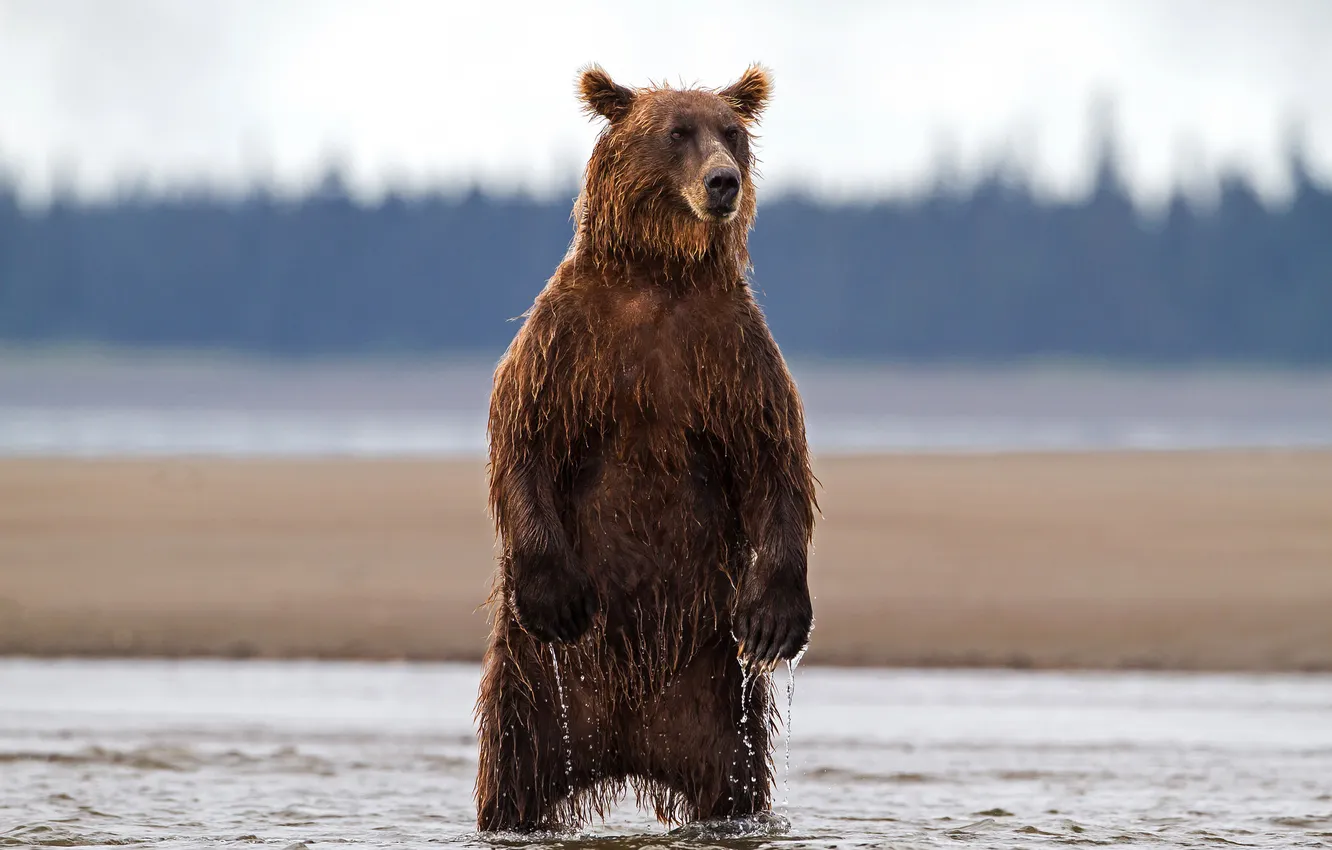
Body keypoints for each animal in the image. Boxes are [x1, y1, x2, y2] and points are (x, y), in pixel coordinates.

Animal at [473, 63, 817, 833]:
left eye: (733, 132)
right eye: (677, 131)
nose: (723, 181)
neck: (660, 274)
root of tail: (627, 745)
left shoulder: (731, 352)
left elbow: (775, 459)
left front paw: (776, 619)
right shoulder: (569, 341)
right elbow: (524, 437)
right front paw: (557, 595)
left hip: (716, 699)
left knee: (735, 784)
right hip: (537, 693)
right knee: (512, 779)